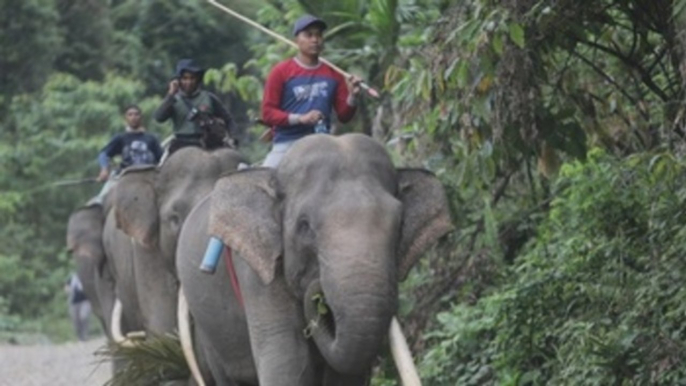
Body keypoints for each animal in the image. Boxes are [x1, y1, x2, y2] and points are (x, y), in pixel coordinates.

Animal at [180, 133, 454, 386]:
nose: (317, 289)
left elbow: (345, 375)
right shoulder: (258, 274)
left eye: (400, 225)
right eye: (304, 226)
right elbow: (288, 364)